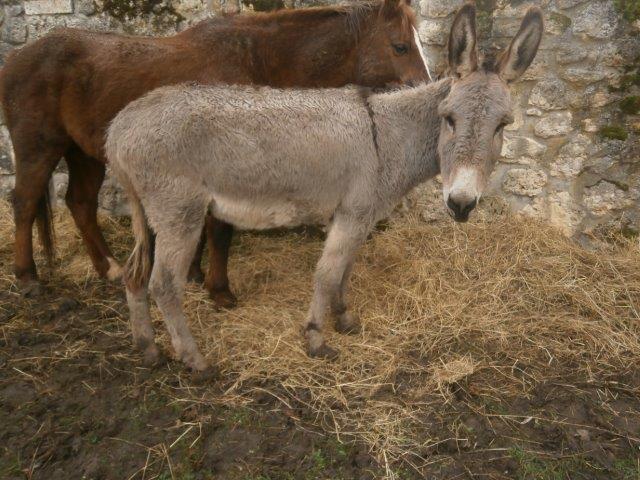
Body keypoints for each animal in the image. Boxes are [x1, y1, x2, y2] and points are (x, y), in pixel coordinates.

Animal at [0, 0, 430, 304]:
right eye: (400, 46)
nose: (426, 90)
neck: (256, 60)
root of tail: (19, 57)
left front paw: (192, 274)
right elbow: (221, 231)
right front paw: (218, 289)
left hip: (84, 153)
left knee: (81, 204)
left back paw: (108, 269)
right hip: (40, 148)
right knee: (25, 202)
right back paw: (28, 277)